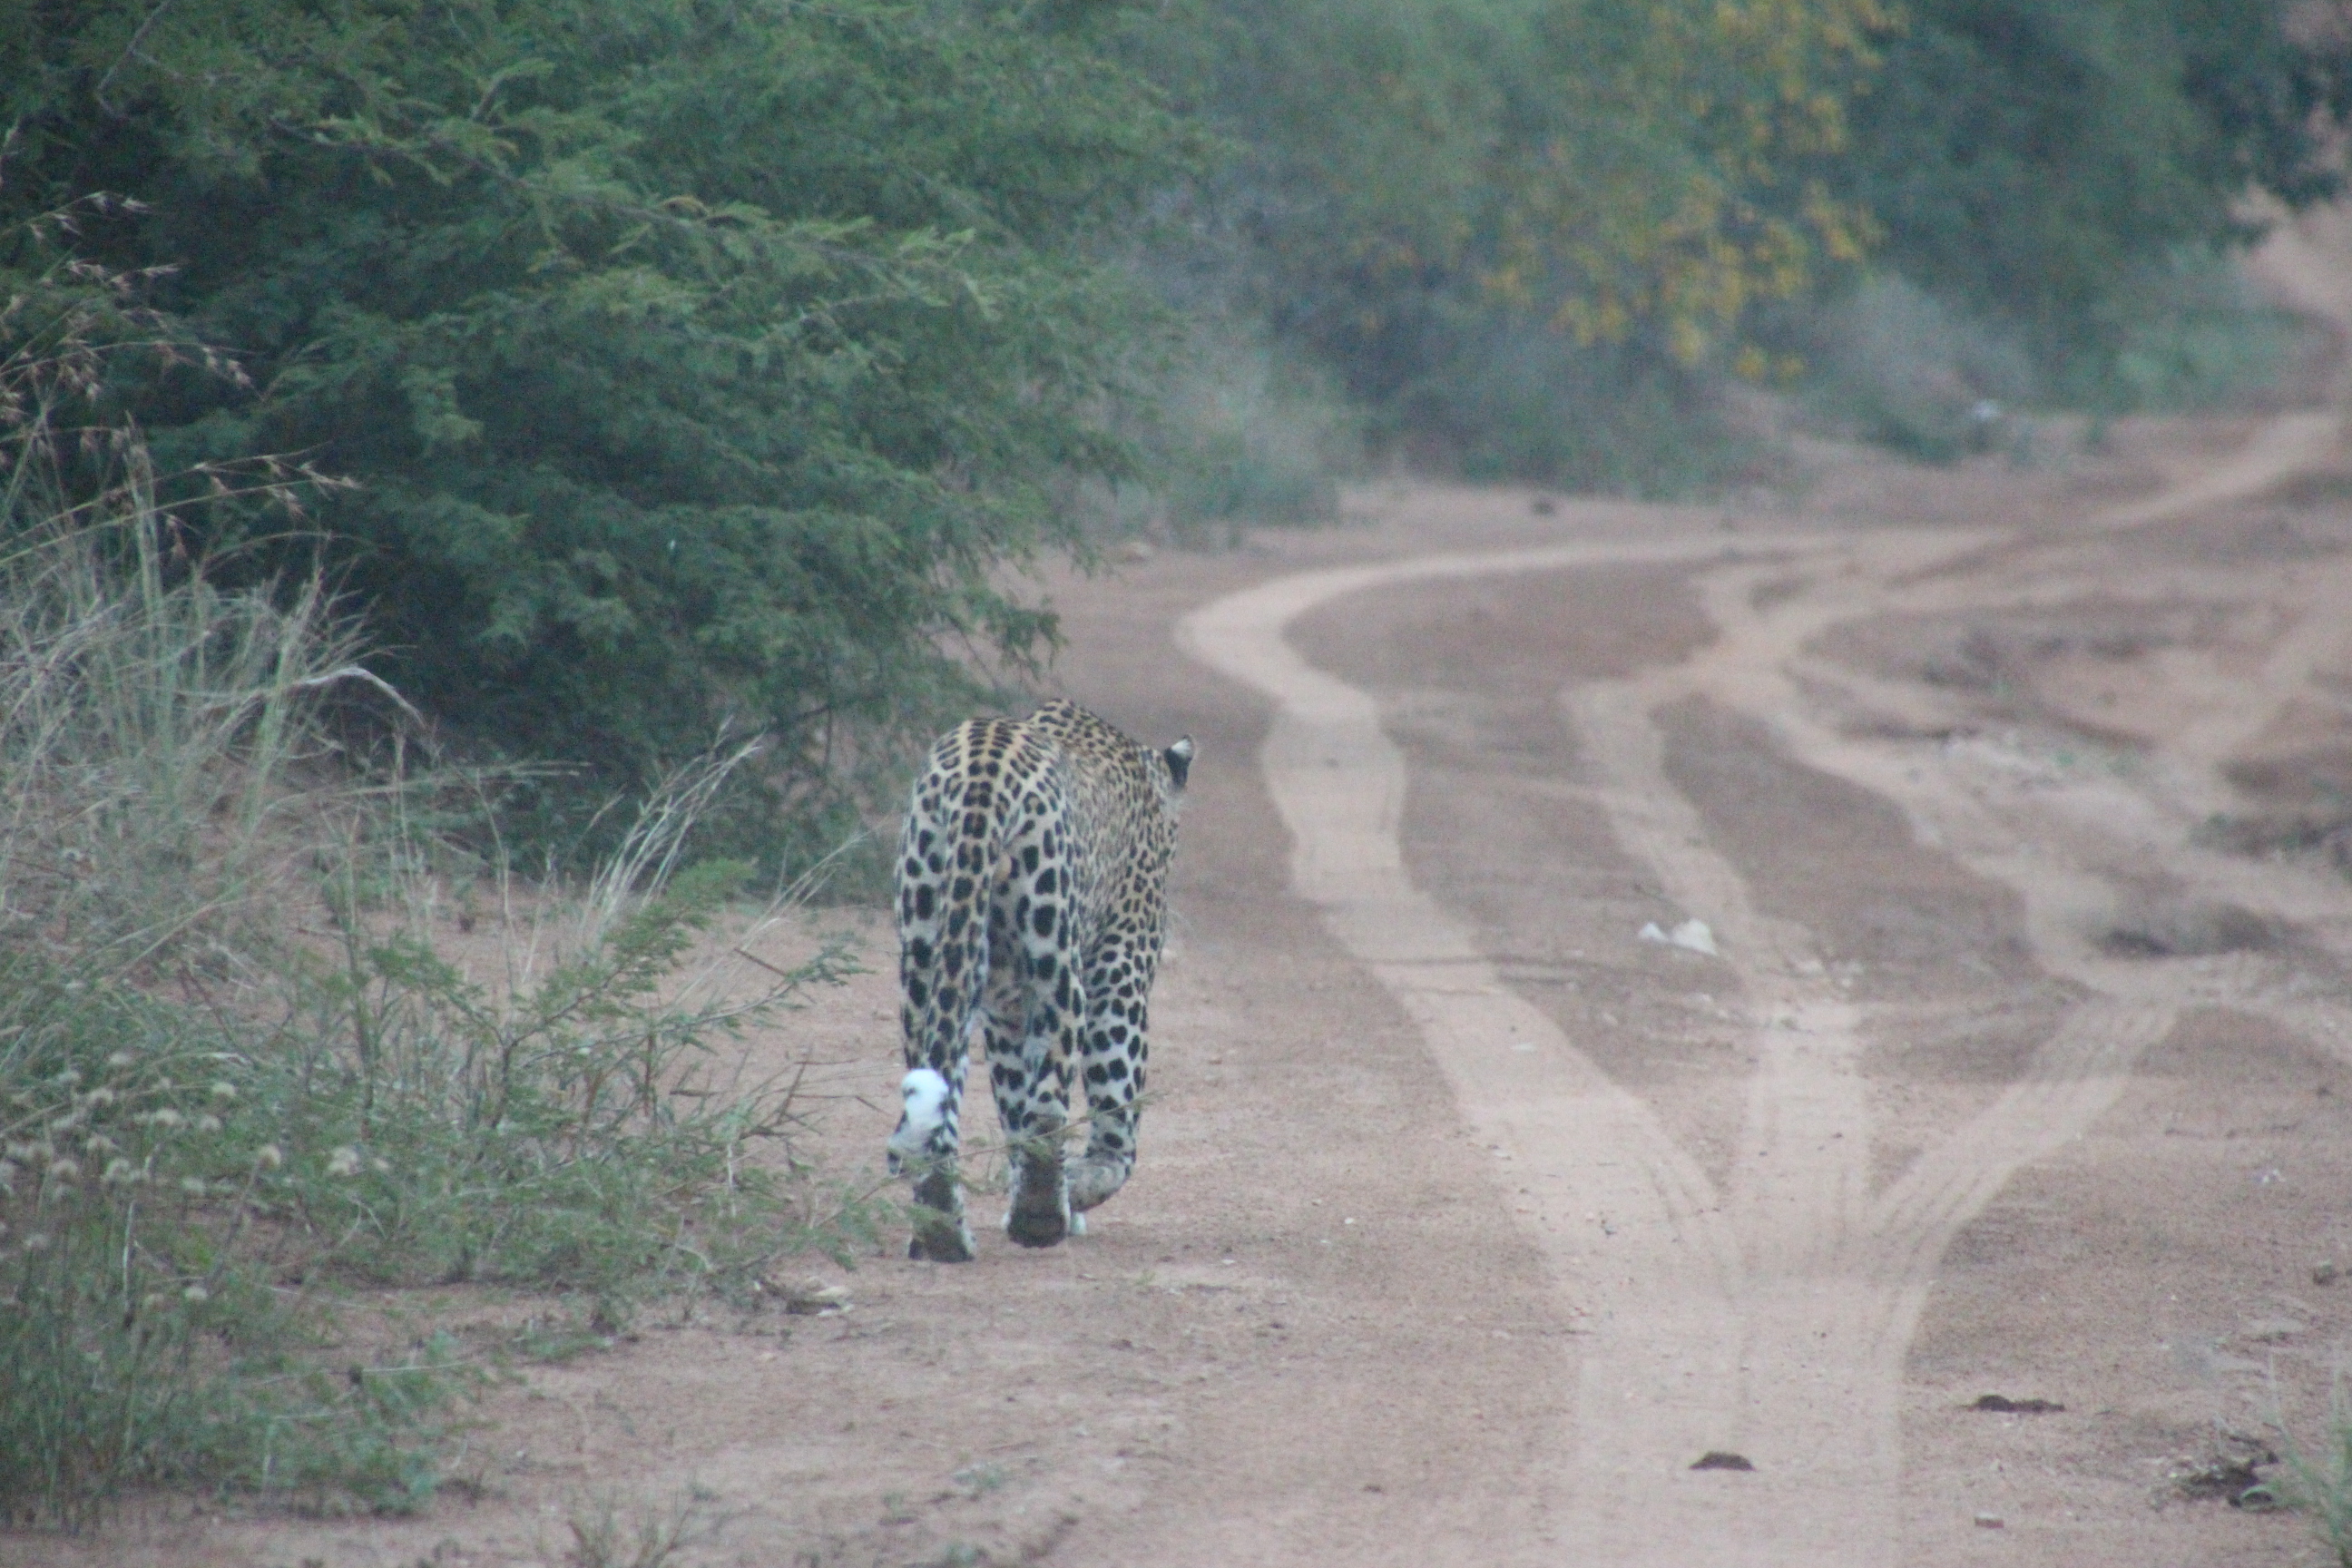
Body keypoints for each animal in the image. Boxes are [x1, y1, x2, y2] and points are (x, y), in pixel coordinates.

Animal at [888, 701, 1204, 1259]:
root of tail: (982, 774)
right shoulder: (1121, 966)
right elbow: (1115, 1112)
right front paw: (1080, 1186)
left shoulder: (1006, 1008)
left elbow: (1012, 1095)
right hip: (1057, 956)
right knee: (1049, 1105)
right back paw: (1040, 1217)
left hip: (926, 957)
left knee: (940, 1097)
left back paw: (943, 1229)